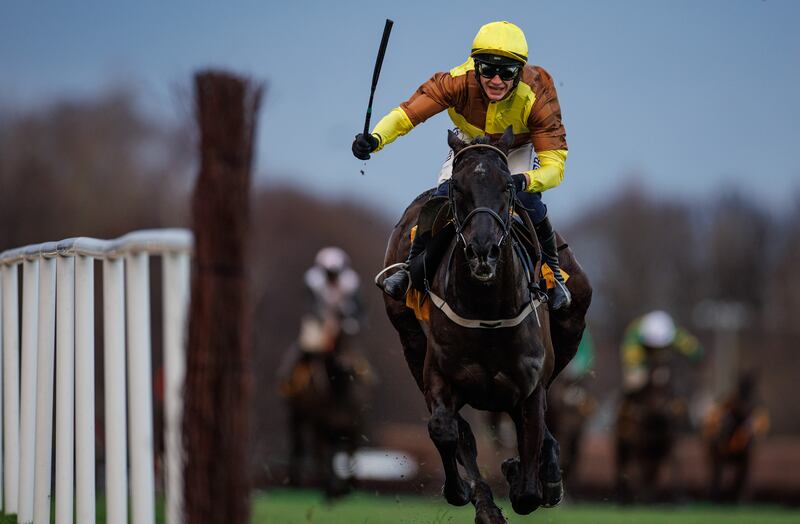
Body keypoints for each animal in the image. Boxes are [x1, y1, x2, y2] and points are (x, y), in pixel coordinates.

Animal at [378, 128, 592, 524]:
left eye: (507, 187)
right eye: (458, 188)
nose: (483, 251)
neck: (488, 311)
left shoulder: (530, 389)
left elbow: (527, 485)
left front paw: (528, 475)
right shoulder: (440, 377)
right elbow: (447, 430)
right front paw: (467, 494)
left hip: (572, 322)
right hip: (410, 340)